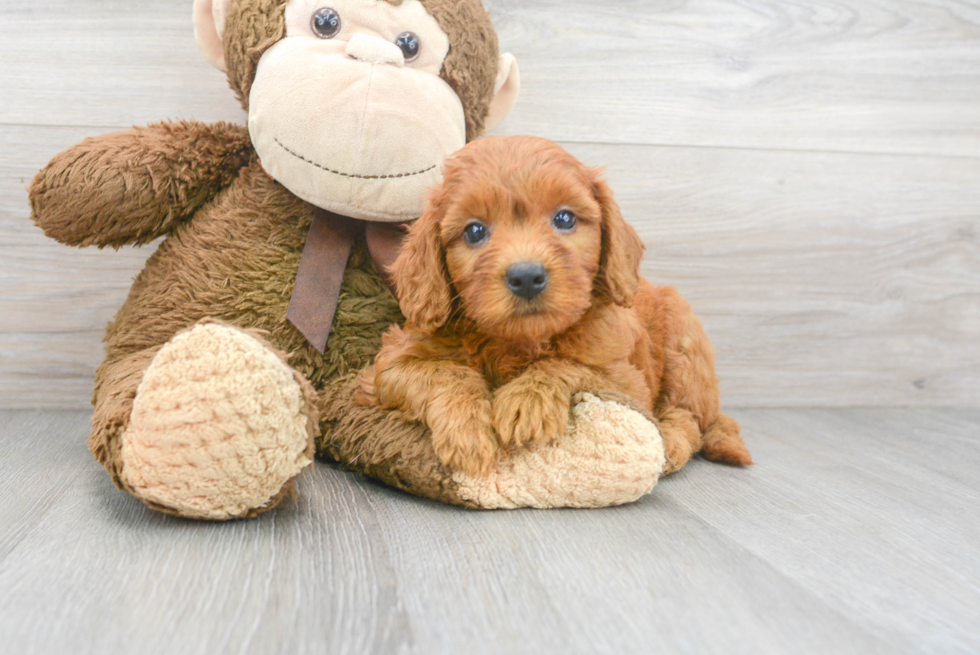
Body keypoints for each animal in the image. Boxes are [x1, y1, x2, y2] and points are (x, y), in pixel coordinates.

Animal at [360, 137, 752, 476]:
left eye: (564, 219)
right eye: (474, 231)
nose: (526, 276)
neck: (517, 342)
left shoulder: (626, 382)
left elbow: (567, 364)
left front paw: (526, 400)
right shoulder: (389, 364)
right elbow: (446, 372)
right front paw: (468, 432)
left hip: (684, 344)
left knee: (688, 417)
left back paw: (669, 444)